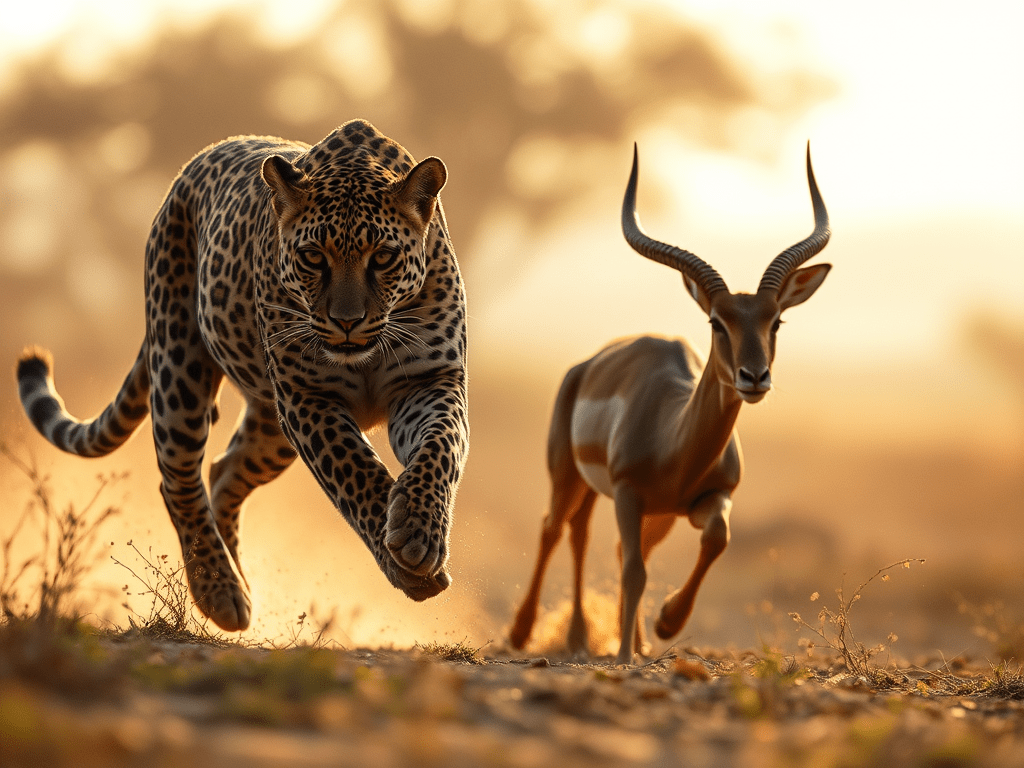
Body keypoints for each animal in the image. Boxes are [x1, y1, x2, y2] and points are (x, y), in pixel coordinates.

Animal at [16, 119, 469, 631]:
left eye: (384, 257)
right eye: (314, 257)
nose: (347, 321)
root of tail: (190, 168)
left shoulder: (430, 382)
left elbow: (440, 448)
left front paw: (418, 530)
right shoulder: (307, 398)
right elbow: (357, 472)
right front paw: (406, 561)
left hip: (270, 428)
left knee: (224, 470)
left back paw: (238, 575)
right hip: (180, 371)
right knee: (179, 479)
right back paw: (221, 592)